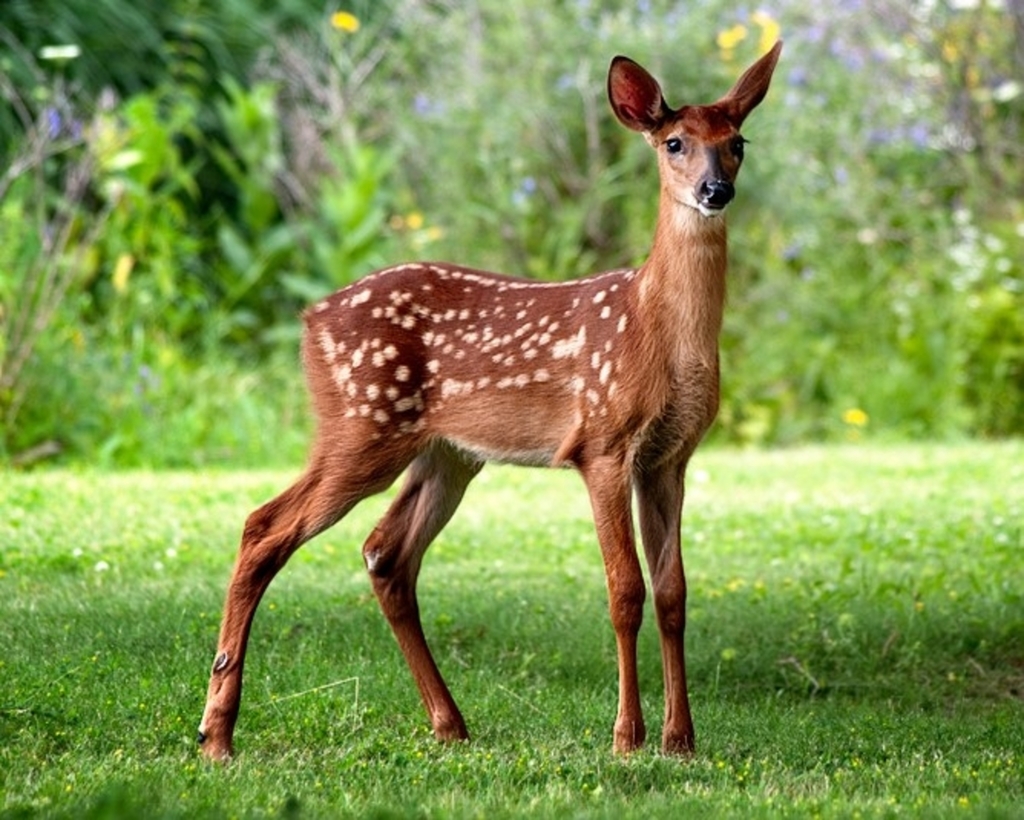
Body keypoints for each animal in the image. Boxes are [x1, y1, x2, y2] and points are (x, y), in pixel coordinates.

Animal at [197, 41, 782, 761]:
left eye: (738, 143)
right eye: (674, 142)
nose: (714, 191)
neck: (657, 329)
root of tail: (309, 320)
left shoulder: (670, 456)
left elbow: (673, 592)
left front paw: (680, 740)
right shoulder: (602, 441)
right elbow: (625, 589)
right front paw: (627, 737)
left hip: (445, 454)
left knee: (385, 552)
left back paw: (449, 723)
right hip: (362, 425)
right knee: (263, 528)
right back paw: (217, 733)